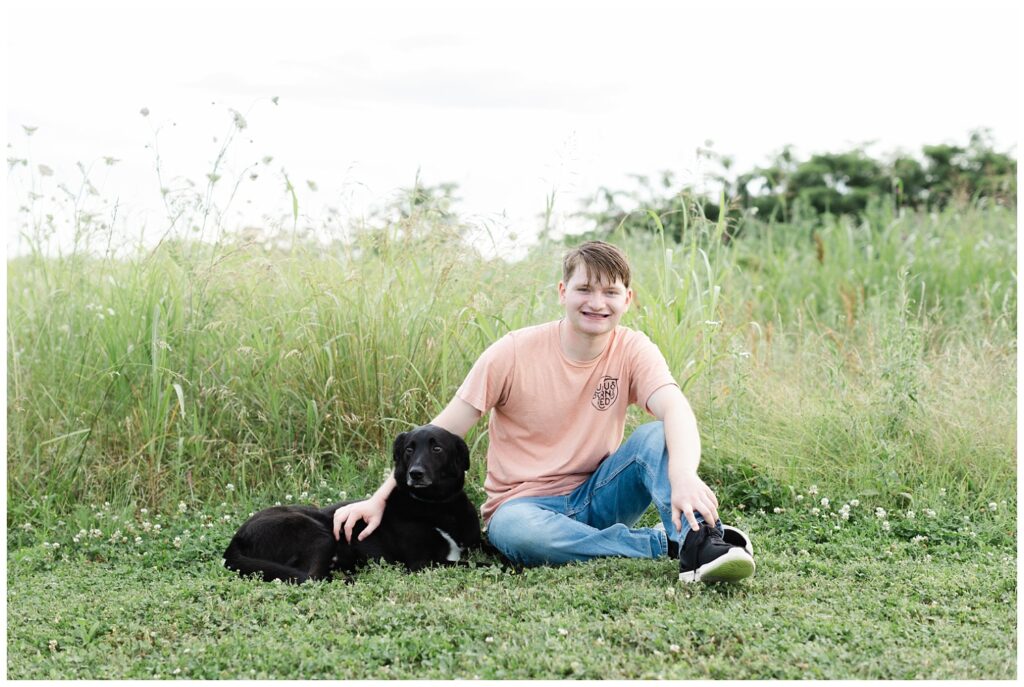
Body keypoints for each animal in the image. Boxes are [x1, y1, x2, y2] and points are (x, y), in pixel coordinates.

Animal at [223, 427, 483, 581]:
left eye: (437, 448)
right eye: (409, 449)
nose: (415, 474)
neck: (437, 506)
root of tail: (236, 538)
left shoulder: (475, 542)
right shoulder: (422, 563)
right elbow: (471, 564)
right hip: (317, 533)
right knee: (312, 577)